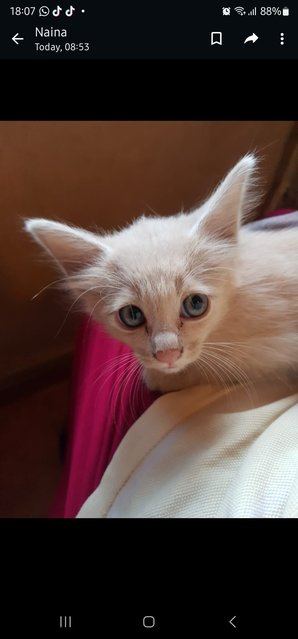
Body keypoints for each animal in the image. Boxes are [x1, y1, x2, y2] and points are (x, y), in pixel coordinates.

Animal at [24, 155, 298, 396]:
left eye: (196, 304)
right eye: (131, 315)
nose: (167, 355)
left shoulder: (276, 348)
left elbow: (228, 366)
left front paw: (162, 377)